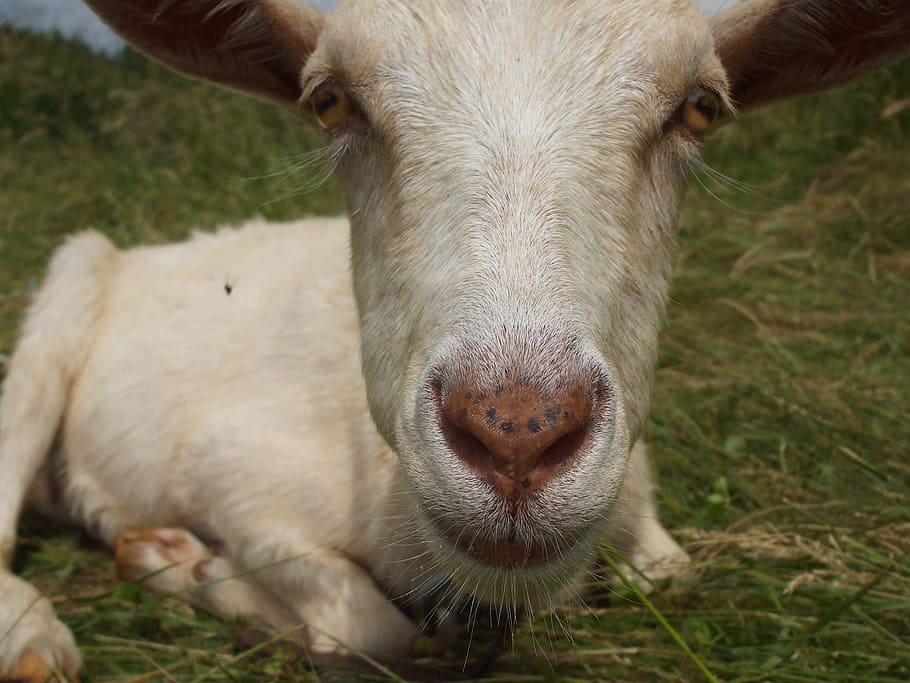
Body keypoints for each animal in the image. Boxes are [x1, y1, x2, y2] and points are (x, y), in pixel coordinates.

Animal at [1, 0, 909, 680]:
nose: (516, 438)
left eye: (701, 107)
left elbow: (672, 571)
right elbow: (363, 626)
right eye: (330, 99)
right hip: (62, 297)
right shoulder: (233, 469)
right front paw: (181, 561)